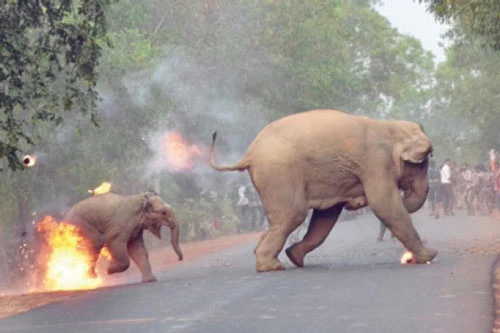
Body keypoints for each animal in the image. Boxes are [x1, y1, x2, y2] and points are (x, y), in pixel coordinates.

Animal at [211, 110, 438, 272]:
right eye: (423, 162)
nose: (405, 194)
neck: (391, 127)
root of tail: (249, 154)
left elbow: (326, 216)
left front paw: (294, 256)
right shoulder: (376, 163)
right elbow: (384, 204)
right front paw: (430, 256)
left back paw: (274, 257)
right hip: (279, 174)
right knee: (293, 214)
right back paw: (271, 267)